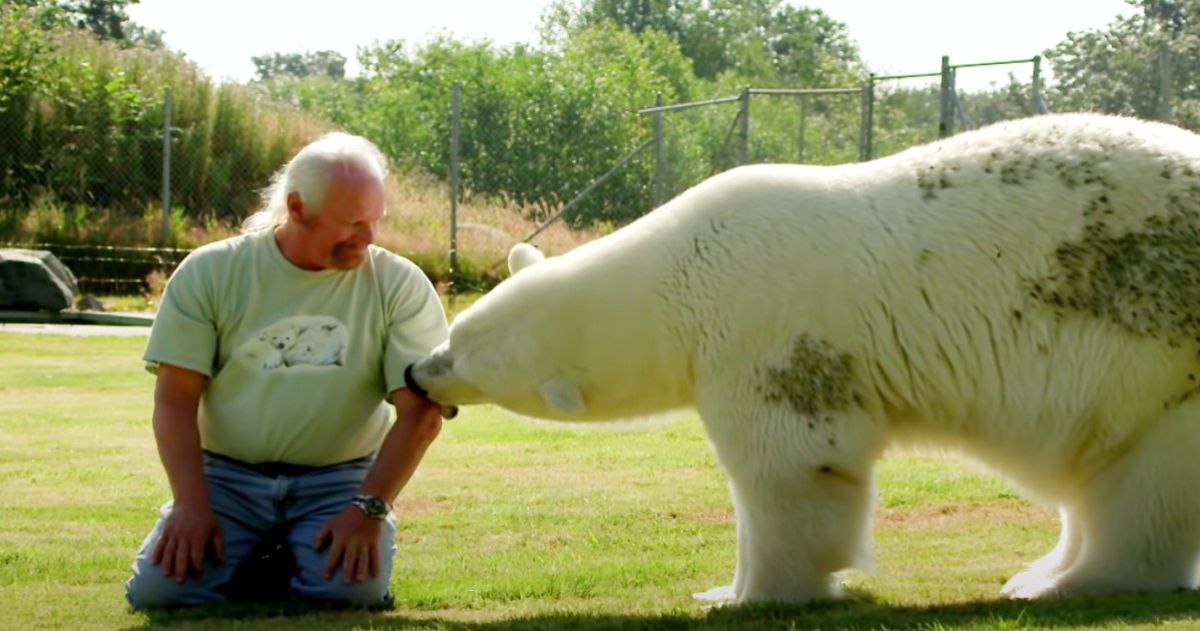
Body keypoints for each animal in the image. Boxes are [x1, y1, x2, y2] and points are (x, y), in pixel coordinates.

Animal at [408, 115, 1200, 609]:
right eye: (455, 330)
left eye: (464, 352)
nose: (417, 372)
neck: (677, 273)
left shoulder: (765, 334)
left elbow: (792, 466)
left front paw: (743, 593)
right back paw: (1040, 570)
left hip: (1163, 358)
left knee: (1144, 482)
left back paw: (1068, 581)